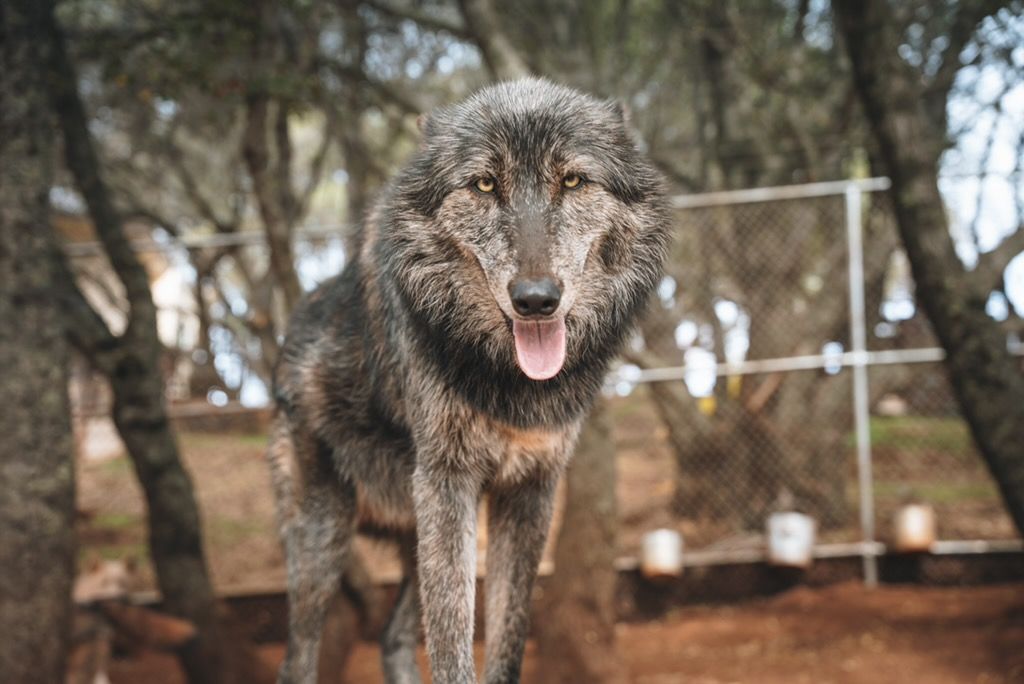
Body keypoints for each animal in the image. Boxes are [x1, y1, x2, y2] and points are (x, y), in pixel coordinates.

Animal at [268, 78, 669, 683]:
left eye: (573, 180)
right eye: (483, 183)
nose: (535, 300)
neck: (510, 383)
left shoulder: (531, 490)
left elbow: (507, 641)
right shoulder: (447, 482)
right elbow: (453, 650)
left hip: (413, 529)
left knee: (393, 636)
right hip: (327, 533)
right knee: (299, 660)